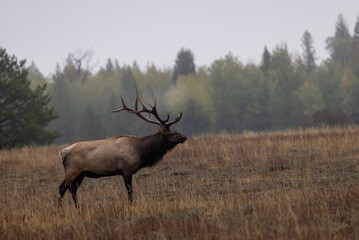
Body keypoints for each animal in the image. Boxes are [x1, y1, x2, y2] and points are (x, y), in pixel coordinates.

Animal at [57, 91, 187, 207]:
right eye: (172, 133)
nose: (184, 137)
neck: (140, 151)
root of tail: (63, 153)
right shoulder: (126, 169)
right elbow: (130, 192)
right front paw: (130, 205)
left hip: (81, 174)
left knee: (72, 189)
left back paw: (77, 207)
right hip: (72, 171)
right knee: (62, 188)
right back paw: (60, 208)